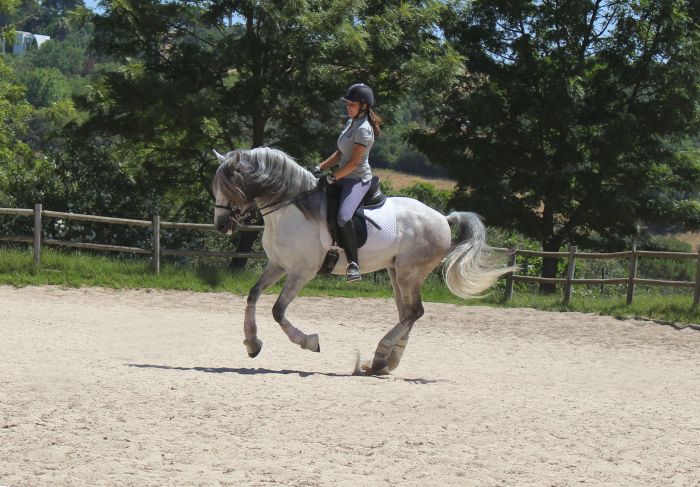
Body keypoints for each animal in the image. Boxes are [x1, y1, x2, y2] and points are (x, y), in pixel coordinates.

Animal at [212, 147, 516, 376]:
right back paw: (384, 363)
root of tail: (443, 217)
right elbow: (253, 295)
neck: (291, 210)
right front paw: (252, 343)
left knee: (414, 312)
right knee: (406, 313)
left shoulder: (301, 272)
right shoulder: (278, 265)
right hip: (396, 273)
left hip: (410, 273)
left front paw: (310, 342)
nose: (222, 226)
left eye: (232, 187)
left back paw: (381, 355)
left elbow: (277, 311)